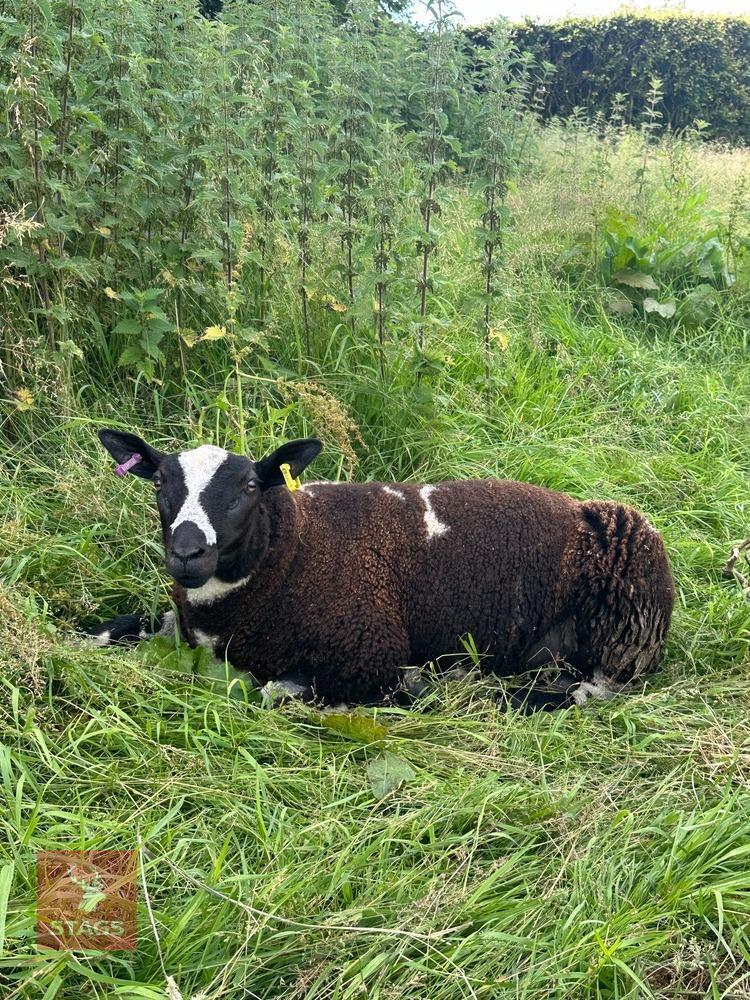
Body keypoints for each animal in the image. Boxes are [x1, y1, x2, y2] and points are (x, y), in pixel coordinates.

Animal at [88, 429, 675, 708]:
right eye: (159, 482)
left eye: (251, 487)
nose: (187, 553)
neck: (292, 551)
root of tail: (579, 508)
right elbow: (117, 626)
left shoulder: (369, 650)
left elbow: (274, 692)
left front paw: (405, 689)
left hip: (628, 620)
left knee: (590, 686)